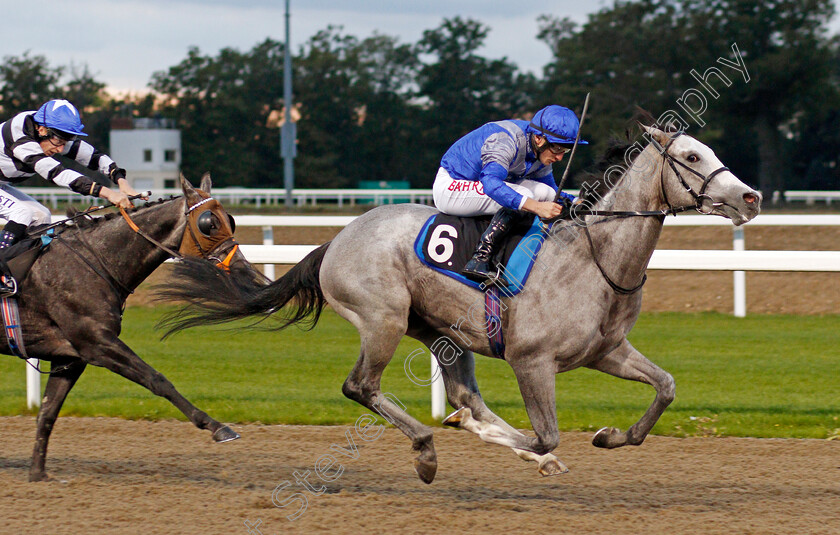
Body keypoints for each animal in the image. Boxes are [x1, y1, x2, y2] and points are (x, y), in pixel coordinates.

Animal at [3, 175, 258, 482]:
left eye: (229, 220)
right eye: (210, 223)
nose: (243, 267)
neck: (94, 259)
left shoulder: (71, 357)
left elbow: (48, 412)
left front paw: (38, 474)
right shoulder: (97, 342)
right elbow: (158, 379)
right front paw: (217, 427)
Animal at [158, 123, 760, 484]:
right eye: (691, 155)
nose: (751, 196)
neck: (595, 258)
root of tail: (338, 238)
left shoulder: (606, 351)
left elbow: (665, 388)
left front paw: (613, 436)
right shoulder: (531, 360)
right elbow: (544, 431)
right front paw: (510, 442)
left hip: (442, 332)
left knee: (464, 393)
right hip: (383, 319)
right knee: (362, 386)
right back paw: (427, 447)